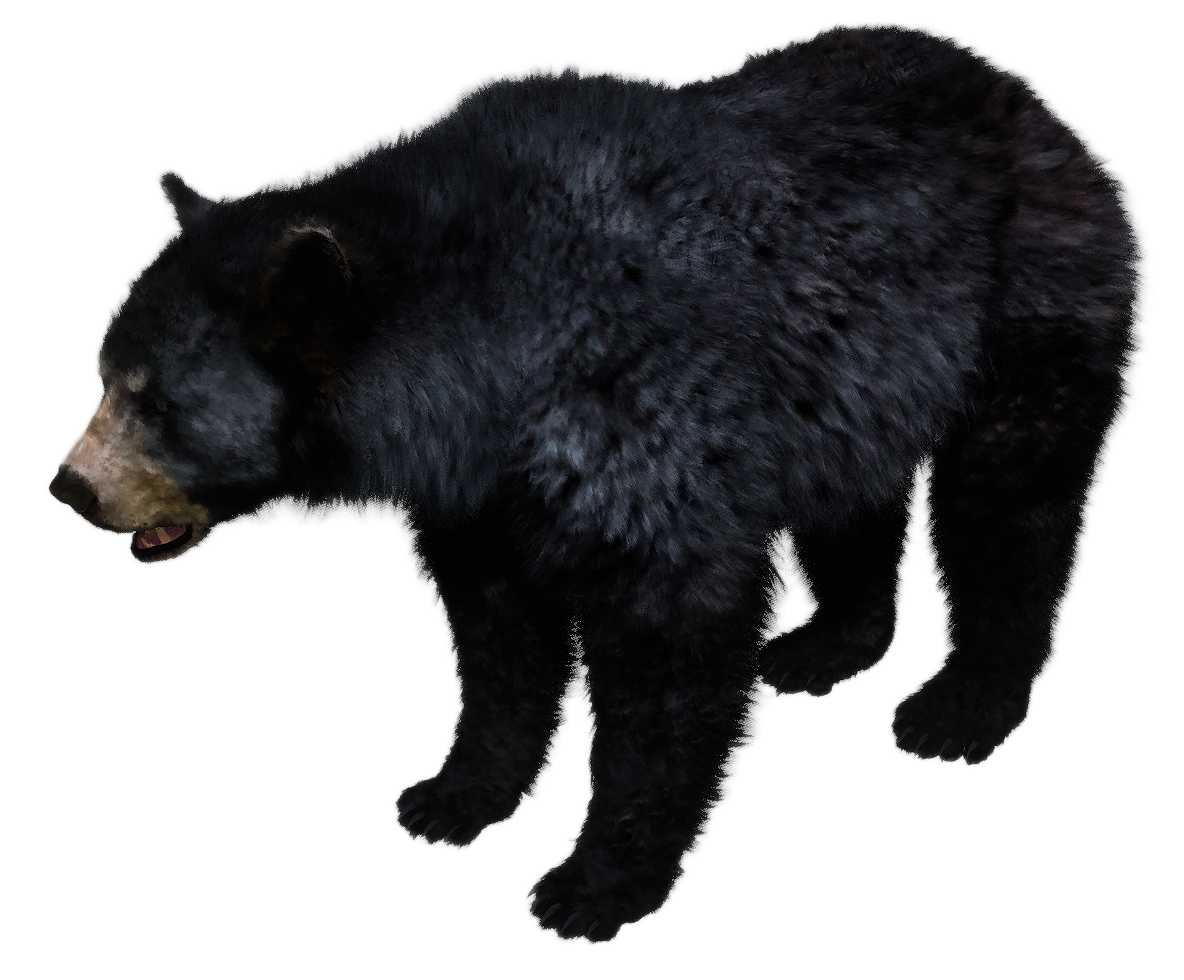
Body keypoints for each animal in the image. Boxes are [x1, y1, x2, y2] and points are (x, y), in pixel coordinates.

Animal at [46, 19, 1152, 945]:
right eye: (102, 372)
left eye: (156, 401)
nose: (70, 489)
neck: (485, 351)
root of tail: (1029, 99)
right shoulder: (478, 487)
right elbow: (495, 635)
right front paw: (452, 794)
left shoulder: (629, 403)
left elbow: (668, 638)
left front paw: (592, 883)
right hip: (857, 367)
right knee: (854, 484)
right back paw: (827, 643)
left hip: (1029, 296)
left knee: (1009, 497)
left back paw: (960, 706)